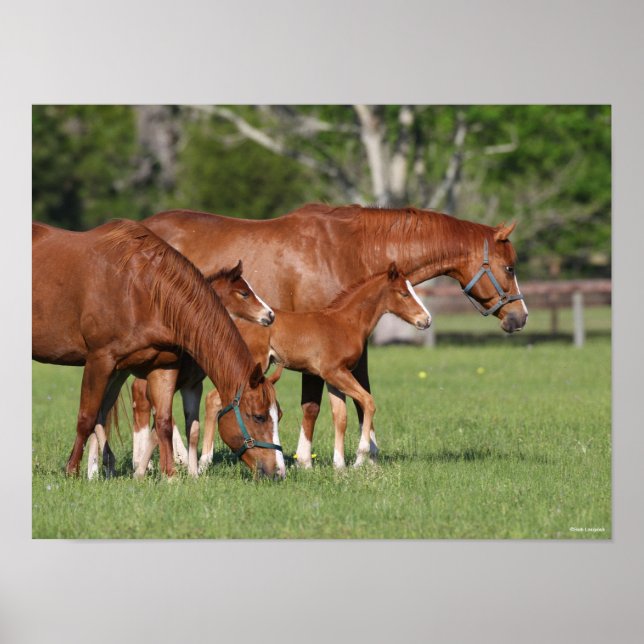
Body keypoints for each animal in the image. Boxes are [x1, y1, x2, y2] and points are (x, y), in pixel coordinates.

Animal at [195, 263, 431, 470]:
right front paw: (360, 456)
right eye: (404, 293)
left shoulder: (333, 377)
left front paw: (339, 466)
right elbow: (368, 402)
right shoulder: (335, 372)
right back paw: (204, 461)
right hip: (253, 366)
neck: (346, 322)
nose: (426, 320)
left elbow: (340, 416)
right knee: (214, 398)